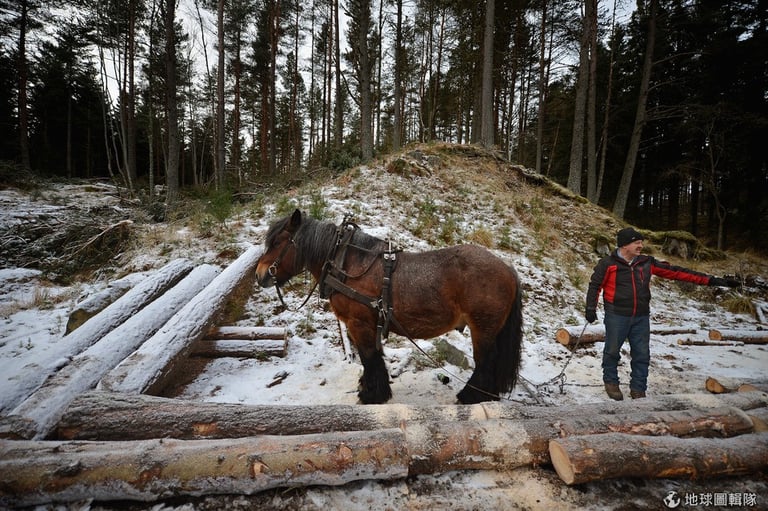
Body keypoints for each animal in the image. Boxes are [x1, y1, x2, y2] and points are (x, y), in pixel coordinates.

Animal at [255, 210, 524, 406]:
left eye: (277, 242)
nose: (259, 275)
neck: (347, 263)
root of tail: (508, 269)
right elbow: (372, 358)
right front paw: (369, 387)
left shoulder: (359, 323)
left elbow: (369, 357)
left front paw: (372, 394)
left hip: (483, 329)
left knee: (485, 362)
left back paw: (472, 396)